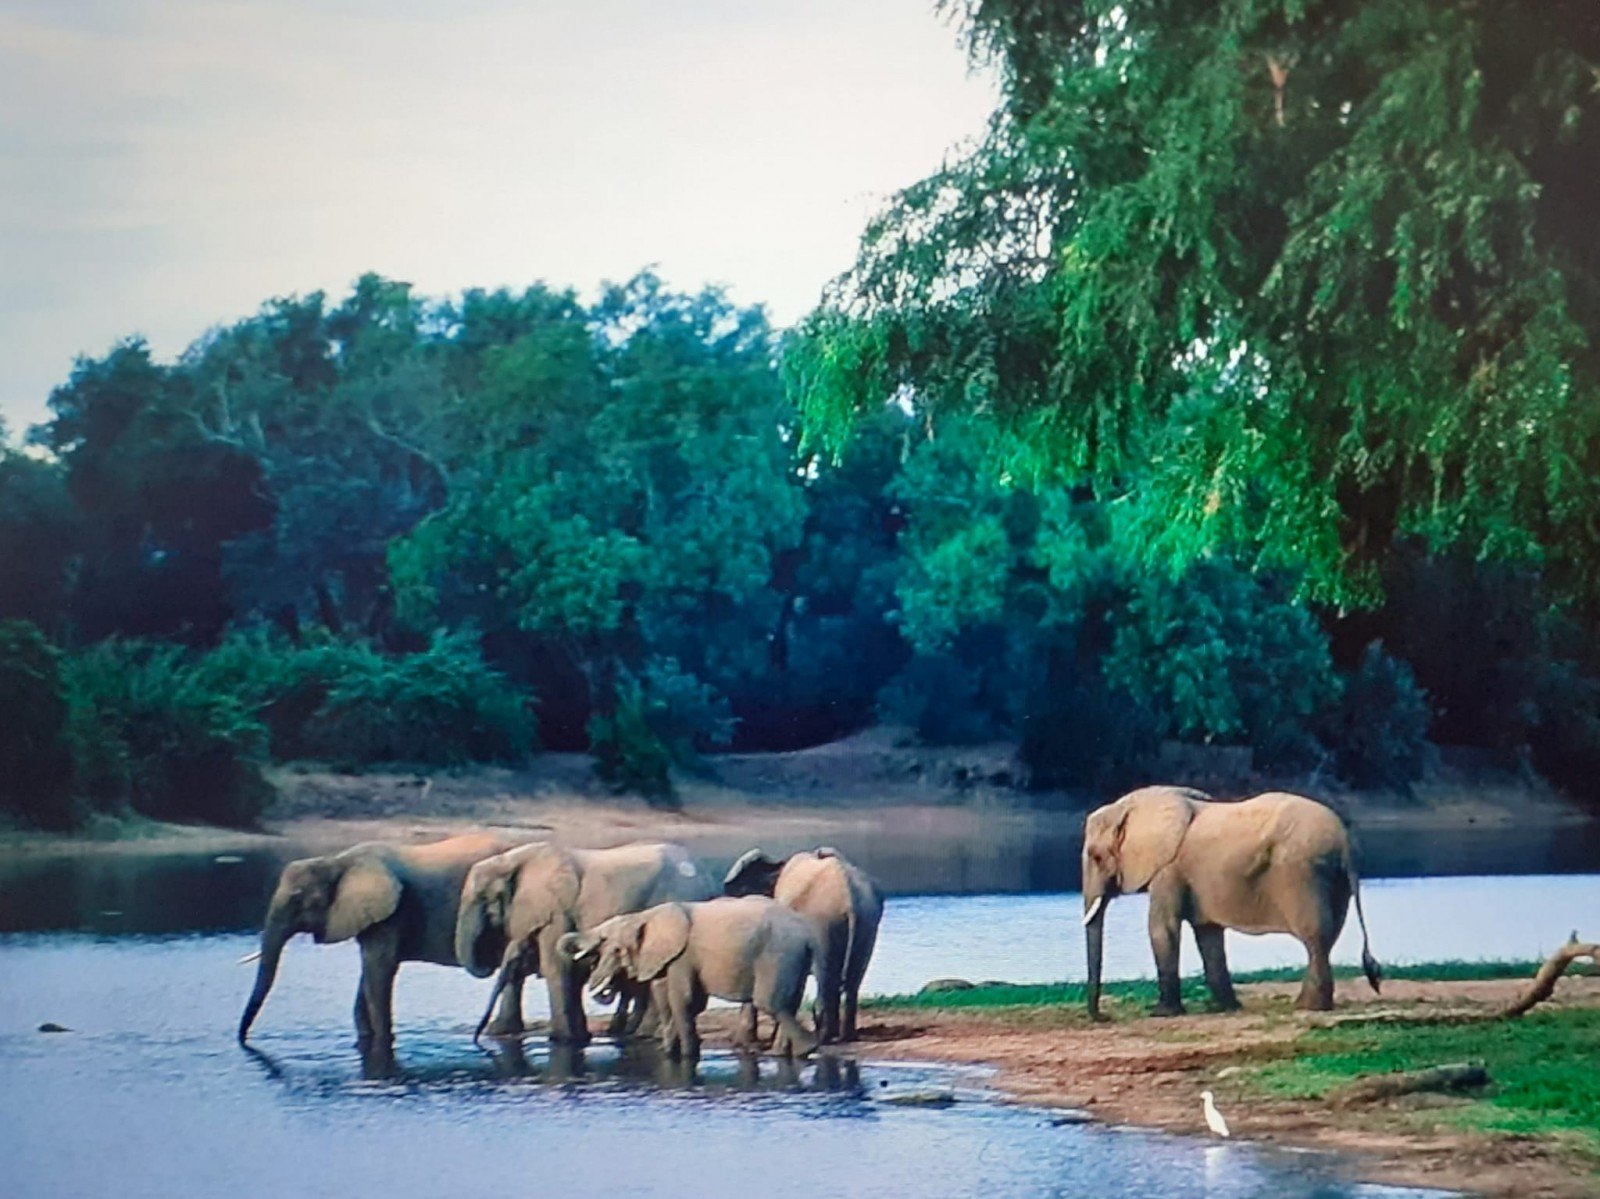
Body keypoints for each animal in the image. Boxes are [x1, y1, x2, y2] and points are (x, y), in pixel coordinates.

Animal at [233, 832, 521, 1050]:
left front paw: (384, 1041)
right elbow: (368, 975)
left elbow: (380, 970)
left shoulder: (391, 913)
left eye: (297, 898)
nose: (243, 1041)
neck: (338, 862)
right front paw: (365, 1039)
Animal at [454, 838, 710, 1043]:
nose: (476, 1039)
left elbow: (556, 965)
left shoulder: (557, 910)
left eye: (485, 899)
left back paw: (645, 1034)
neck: (510, 860)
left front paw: (564, 1040)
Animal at [563, 896, 832, 1062]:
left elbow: (684, 1000)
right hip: (794, 958)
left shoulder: (683, 957)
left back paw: (807, 1049)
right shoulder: (667, 960)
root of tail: (808, 935)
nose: (602, 984)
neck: (645, 916)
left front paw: (687, 1057)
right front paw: (669, 1054)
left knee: (771, 1003)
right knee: (789, 1003)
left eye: (616, 950)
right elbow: (674, 1002)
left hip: (778, 955)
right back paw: (786, 1055)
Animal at [723, 838, 883, 1037]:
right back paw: (845, 1035)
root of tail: (850, 898)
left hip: (823, 922)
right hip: (867, 923)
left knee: (827, 978)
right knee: (852, 979)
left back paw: (825, 1036)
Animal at [1081, 784, 1382, 1018]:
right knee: (1330, 932)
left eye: (1096, 857)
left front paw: (1161, 1013)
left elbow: (1162, 929)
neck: (1130, 806)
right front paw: (1223, 1008)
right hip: (1332, 877)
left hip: (1302, 872)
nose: (1103, 1017)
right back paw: (1307, 1004)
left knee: (1315, 934)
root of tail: (1344, 838)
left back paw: (1309, 1007)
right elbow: (1208, 934)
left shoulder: (1168, 869)